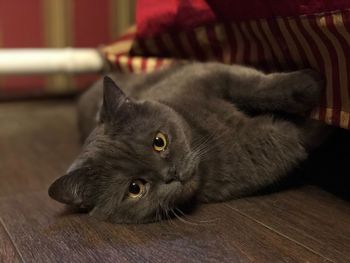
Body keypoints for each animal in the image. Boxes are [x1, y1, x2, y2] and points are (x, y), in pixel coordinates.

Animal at [48, 63, 328, 224]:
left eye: (159, 142)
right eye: (135, 188)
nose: (171, 174)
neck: (204, 131)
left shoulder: (207, 74)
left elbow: (255, 85)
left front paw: (311, 83)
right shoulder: (260, 152)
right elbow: (296, 134)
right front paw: (324, 126)